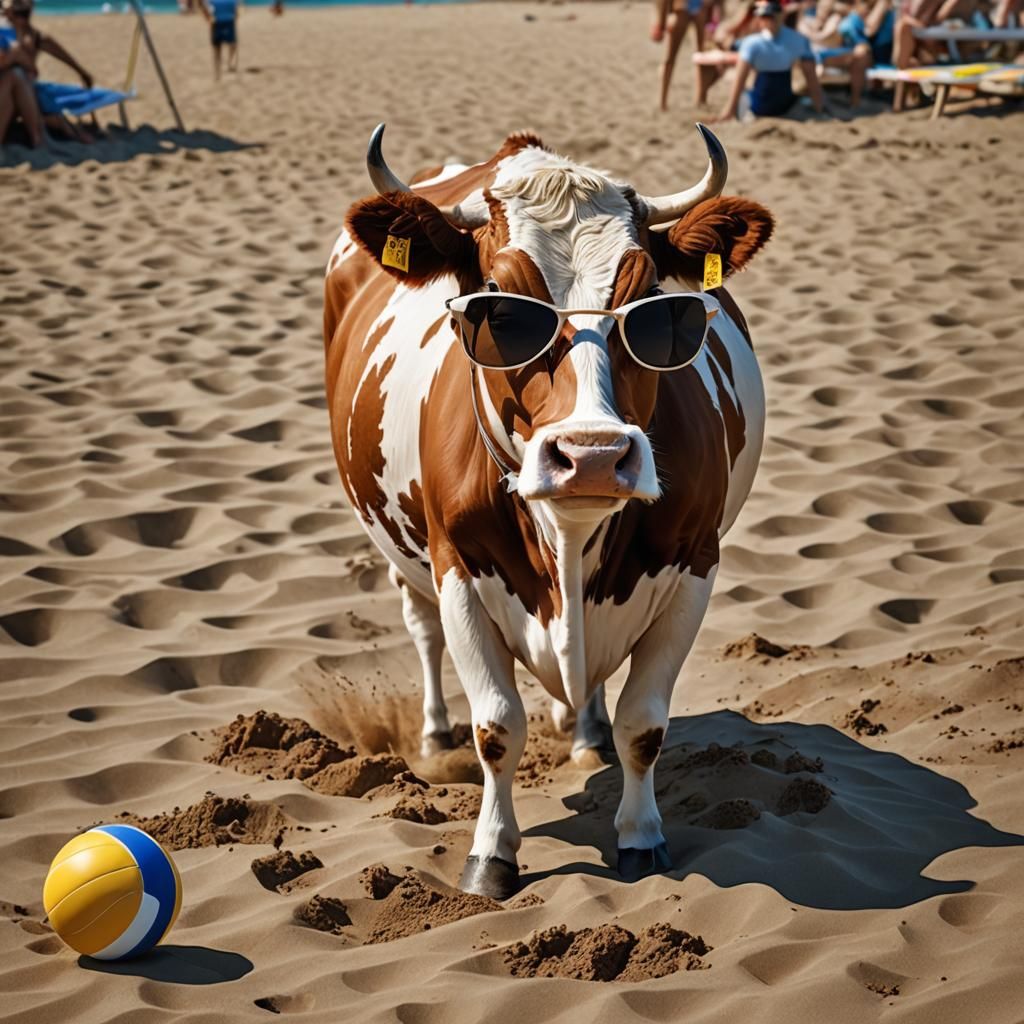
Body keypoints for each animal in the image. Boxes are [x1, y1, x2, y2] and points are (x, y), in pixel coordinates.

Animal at [323, 123, 772, 899]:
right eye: (497, 305)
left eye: (654, 302)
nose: (592, 454)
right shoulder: (457, 569)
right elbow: (497, 727)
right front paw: (490, 854)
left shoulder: (695, 565)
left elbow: (642, 723)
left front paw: (640, 835)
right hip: (402, 554)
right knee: (421, 630)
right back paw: (434, 734)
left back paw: (584, 732)